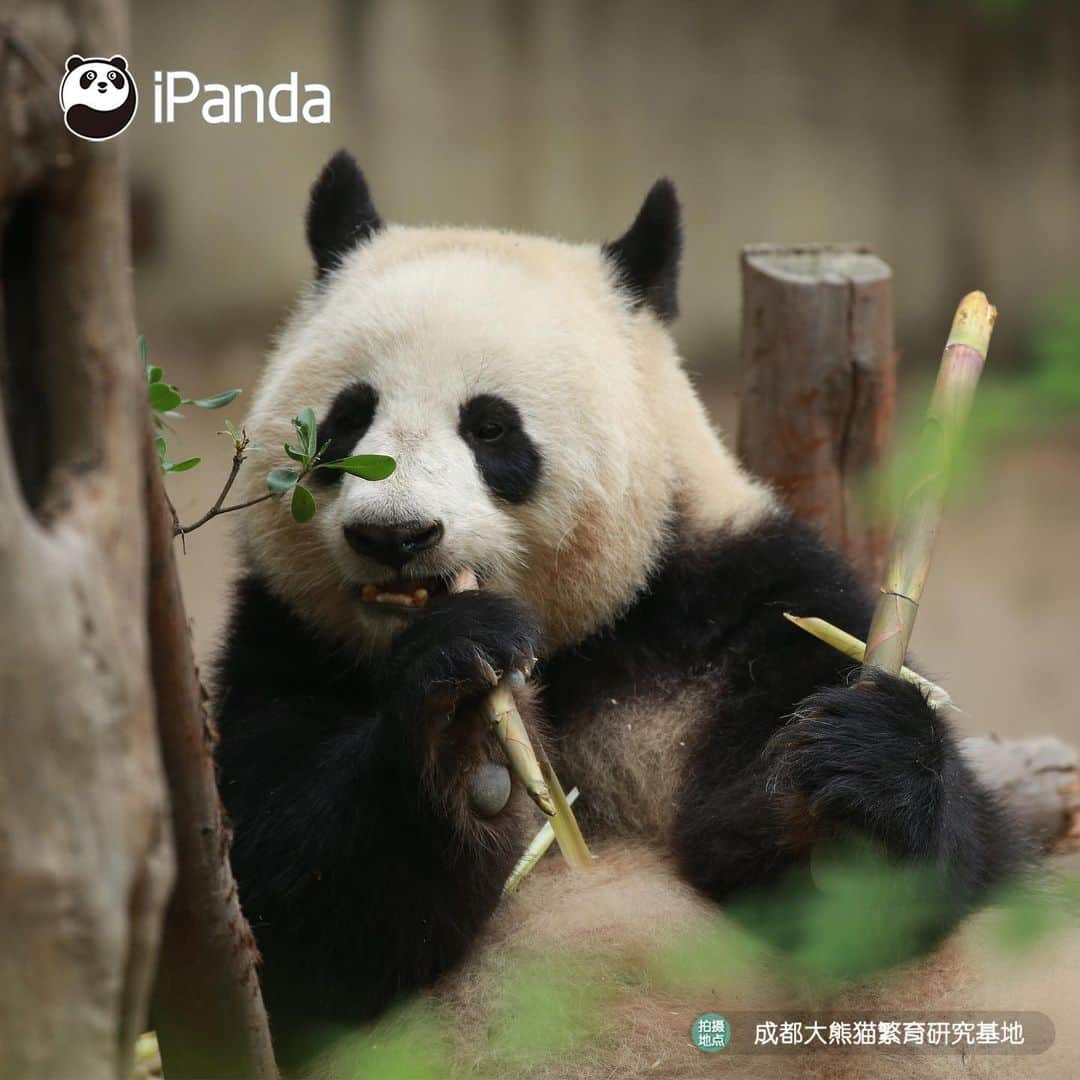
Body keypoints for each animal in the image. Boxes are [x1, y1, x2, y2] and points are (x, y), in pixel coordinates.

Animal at [212, 150, 1062, 1071]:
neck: (574, 646)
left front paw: (855, 773)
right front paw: (460, 715)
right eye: (346, 419)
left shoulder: (740, 607)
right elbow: (293, 917)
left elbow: (872, 894)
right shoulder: (284, 643)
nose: (394, 534)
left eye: (490, 427)